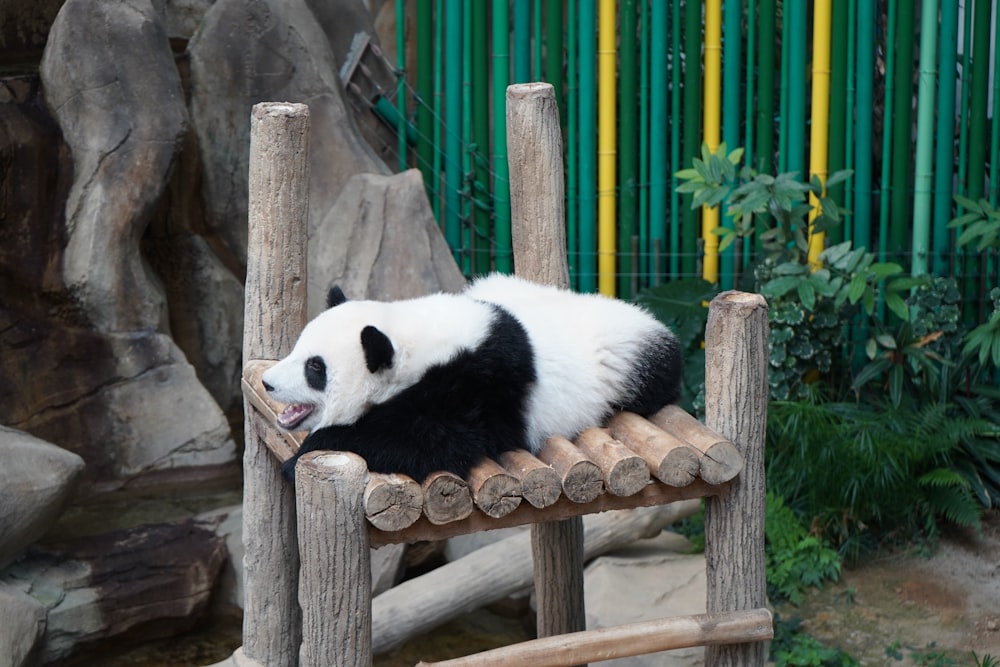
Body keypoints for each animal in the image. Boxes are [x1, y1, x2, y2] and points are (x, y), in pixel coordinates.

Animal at [260, 274, 680, 482]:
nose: (268, 382)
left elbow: (432, 442)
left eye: (315, 368)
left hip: (628, 356)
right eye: (298, 349)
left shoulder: (474, 384)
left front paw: (303, 455)